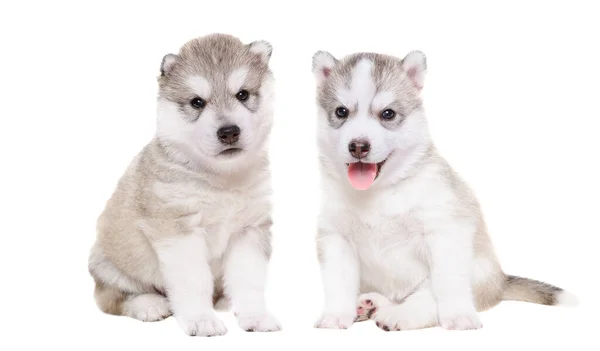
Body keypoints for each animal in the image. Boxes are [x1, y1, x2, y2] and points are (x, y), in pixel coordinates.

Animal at [89, 33, 282, 338]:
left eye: (243, 94)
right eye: (197, 102)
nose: (229, 132)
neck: (221, 180)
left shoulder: (250, 230)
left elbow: (249, 280)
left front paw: (255, 315)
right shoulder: (179, 231)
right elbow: (194, 281)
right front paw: (201, 320)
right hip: (108, 263)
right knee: (113, 297)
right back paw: (149, 305)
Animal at [310, 50, 576, 332]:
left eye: (388, 114)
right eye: (341, 112)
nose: (358, 146)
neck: (379, 192)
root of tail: (501, 281)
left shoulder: (444, 231)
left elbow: (446, 285)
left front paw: (459, 316)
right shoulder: (335, 237)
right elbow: (338, 283)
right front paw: (336, 315)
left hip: (475, 271)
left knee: (427, 297)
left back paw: (398, 315)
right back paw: (369, 305)